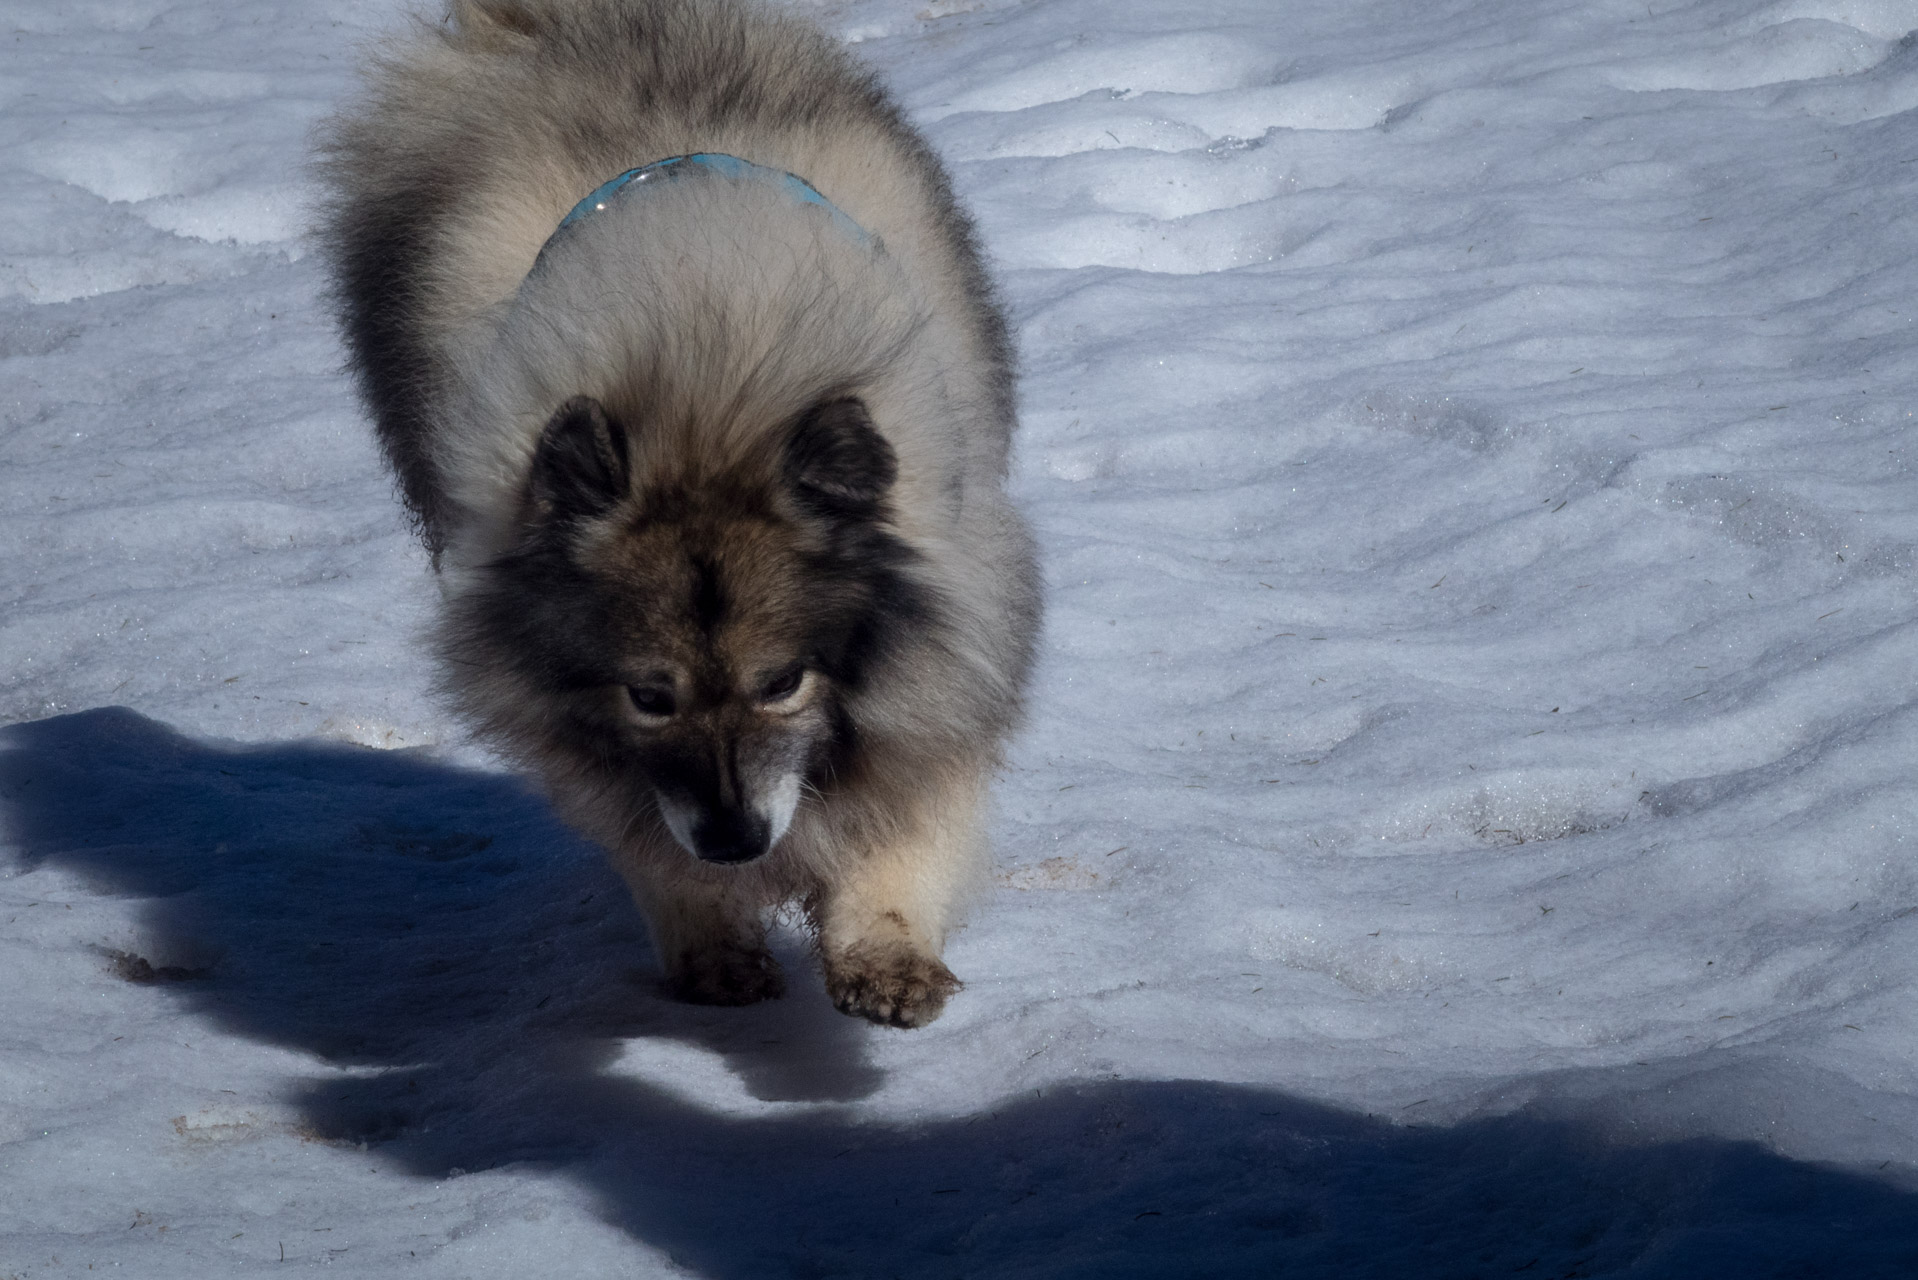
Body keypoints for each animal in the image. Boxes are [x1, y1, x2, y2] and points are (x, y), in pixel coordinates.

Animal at [318, 0, 1035, 1028]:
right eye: (649, 697)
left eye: (783, 682)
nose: (735, 839)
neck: (700, 408)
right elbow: (648, 838)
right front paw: (713, 943)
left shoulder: (950, 646)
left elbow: (907, 817)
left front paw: (883, 952)